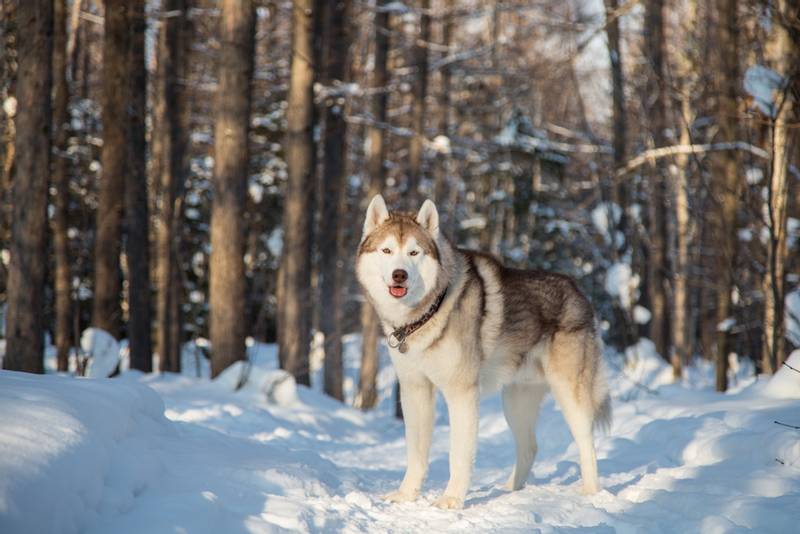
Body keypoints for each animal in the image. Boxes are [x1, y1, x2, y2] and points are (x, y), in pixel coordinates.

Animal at [356, 196, 612, 510]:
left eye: (414, 252)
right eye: (387, 250)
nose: (399, 275)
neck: (428, 312)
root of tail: (580, 293)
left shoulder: (461, 393)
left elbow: (458, 455)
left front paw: (451, 500)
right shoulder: (415, 390)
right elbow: (415, 453)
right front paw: (406, 495)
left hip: (569, 395)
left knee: (587, 444)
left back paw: (590, 494)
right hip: (515, 401)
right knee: (530, 447)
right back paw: (511, 489)